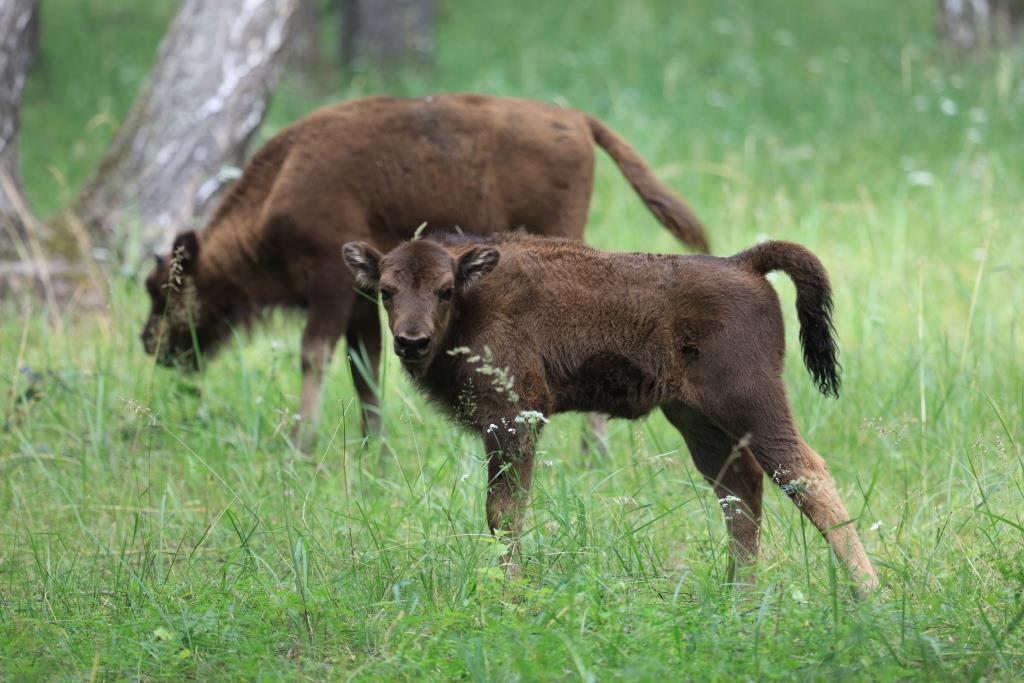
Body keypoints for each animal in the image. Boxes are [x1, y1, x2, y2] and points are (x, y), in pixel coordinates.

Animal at [342, 232, 880, 593]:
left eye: (445, 290)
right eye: (386, 290)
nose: (411, 341)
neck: (477, 298)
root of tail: (743, 264)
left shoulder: (513, 420)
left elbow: (504, 512)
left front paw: (510, 592)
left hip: (751, 403)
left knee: (805, 475)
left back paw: (867, 593)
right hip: (696, 420)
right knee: (741, 492)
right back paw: (737, 595)